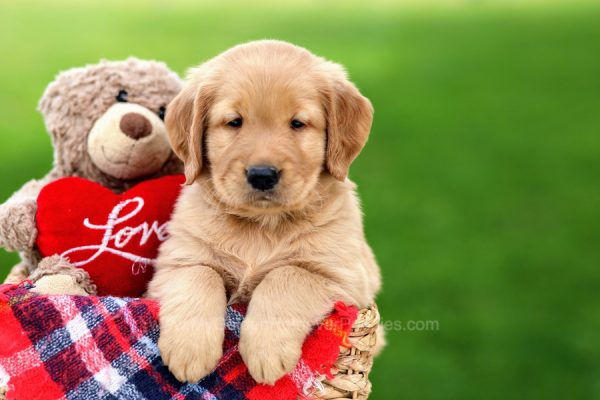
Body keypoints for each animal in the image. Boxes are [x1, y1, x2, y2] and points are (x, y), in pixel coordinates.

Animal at [149, 39, 382, 384]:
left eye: (297, 123)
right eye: (234, 122)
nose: (262, 175)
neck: (261, 225)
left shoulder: (346, 279)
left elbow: (287, 275)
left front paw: (266, 350)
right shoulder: (175, 263)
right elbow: (201, 274)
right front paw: (189, 350)